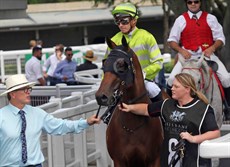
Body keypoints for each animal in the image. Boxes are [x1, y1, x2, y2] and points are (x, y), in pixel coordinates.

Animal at [95, 36, 164, 167]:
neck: (133, 126)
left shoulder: (154, 159)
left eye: (122, 65)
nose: (101, 96)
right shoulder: (119, 160)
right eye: (104, 64)